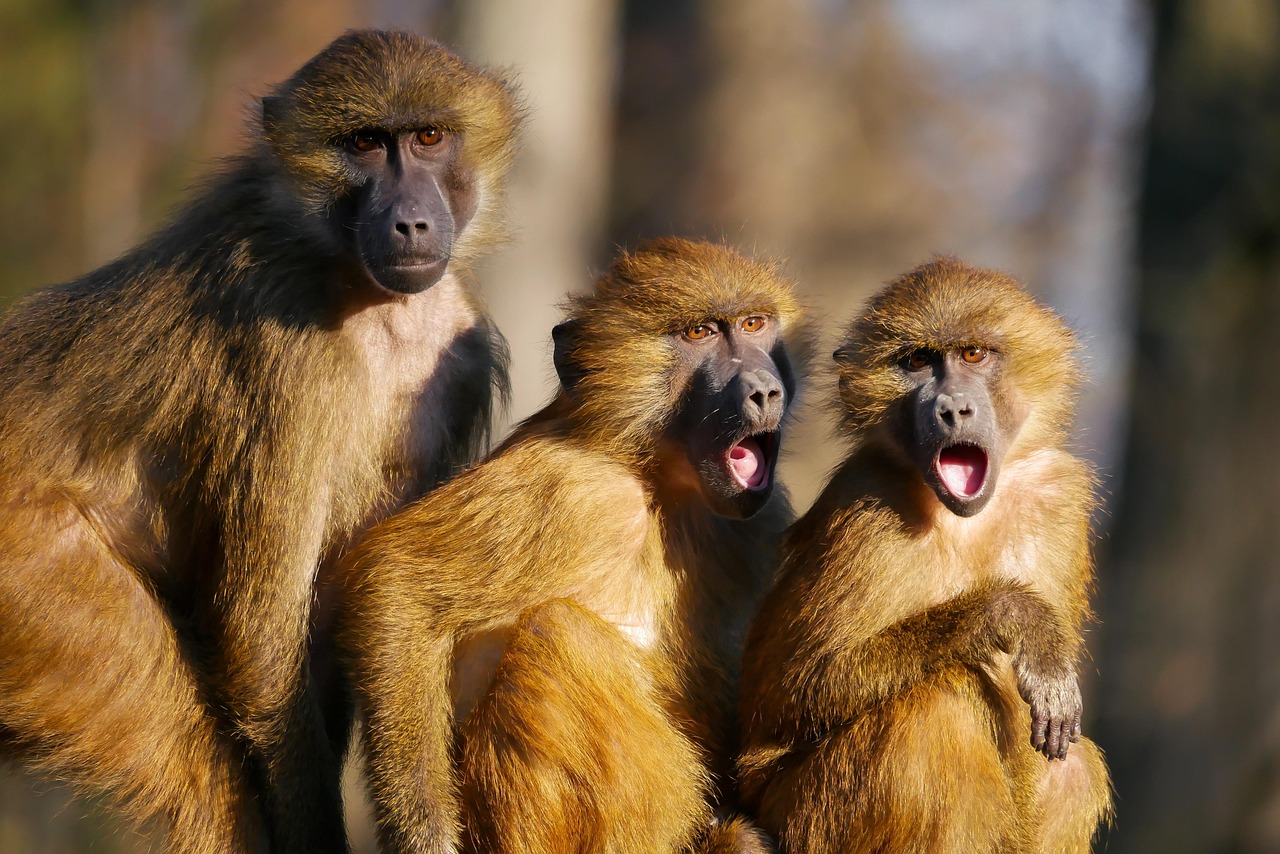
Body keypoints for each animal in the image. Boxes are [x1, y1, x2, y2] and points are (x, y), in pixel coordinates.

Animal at [0, 30, 520, 853]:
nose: (409, 223)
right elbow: (263, 631)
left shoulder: (460, 361)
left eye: (429, 137)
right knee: (198, 774)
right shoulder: (286, 352)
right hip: (33, 577)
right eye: (364, 144)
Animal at [335, 238, 814, 853]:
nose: (764, 389)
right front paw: (426, 835)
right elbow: (397, 581)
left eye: (754, 324)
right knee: (558, 635)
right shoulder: (573, 488)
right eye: (699, 333)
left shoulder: (760, 518)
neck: (658, 480)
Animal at [736, 258, 1112, 853]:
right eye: (917, 361)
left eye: (974, 354)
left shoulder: (1057, 496)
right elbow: (793, 689)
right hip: (806, 814)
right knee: (936, 711)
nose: (952, 409)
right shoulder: (867, 507)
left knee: (1071, 769)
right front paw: (1016, 617)